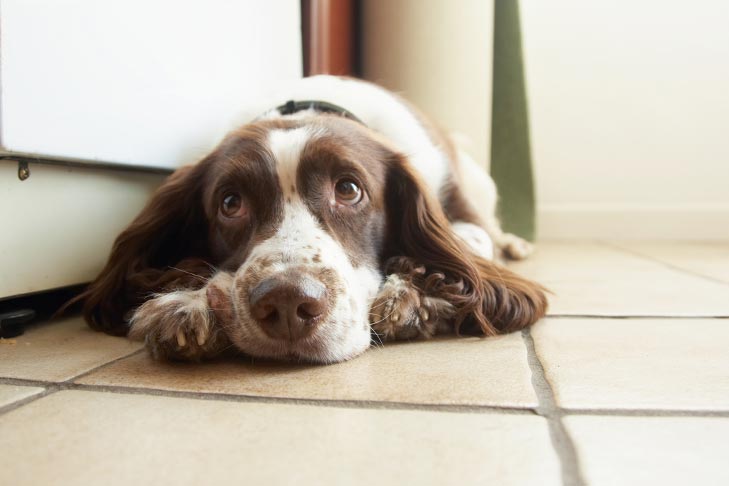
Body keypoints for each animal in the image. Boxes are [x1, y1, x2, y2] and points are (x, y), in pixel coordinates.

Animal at [74, 76, 544, 362]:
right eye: (230, 202)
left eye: (349, 189)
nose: (286, 304)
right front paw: (190, 302)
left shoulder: (459, 211)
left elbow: (468, 252)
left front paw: (412, 293)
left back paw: (516, 244)